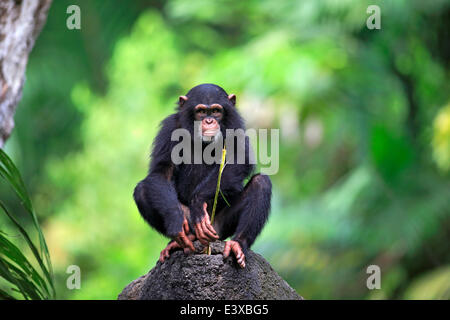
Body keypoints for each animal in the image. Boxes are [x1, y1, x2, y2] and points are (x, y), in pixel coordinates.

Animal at [132, 84, 272, 268]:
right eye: (201, 111)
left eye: (216, 111)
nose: (209, 121)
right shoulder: (170, 127)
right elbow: (161, 172)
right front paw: (175, 219)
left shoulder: (235, 125)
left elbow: (240, 159)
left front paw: (198, 202)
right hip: (193, 225)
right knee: (142, 190)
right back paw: (179, 241)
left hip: (218, 228)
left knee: (261, 183)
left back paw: (238, 243)